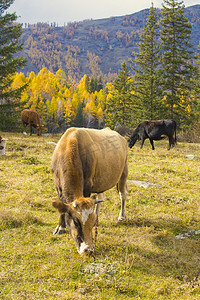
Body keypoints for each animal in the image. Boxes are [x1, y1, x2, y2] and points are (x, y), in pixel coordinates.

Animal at [50, 125, 128, 254]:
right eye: (76, 221)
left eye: (90, 223)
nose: (89, 249)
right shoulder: (58, 185)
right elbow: (62, 206)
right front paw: (60, 227)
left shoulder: (87, 183)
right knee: (100, 196)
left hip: (123, 172)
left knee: (123, 194)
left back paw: (122, 216)